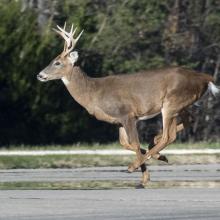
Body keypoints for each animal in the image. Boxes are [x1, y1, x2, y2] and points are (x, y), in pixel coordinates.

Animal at [37, 22, 219, 187]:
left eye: (57, 62)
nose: (40, 75)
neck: (93, 92)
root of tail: (205, 77)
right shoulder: (118, 121)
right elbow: (126, 143)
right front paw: (154, 163)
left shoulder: (127, 114)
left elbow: (134, 143)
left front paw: (144, 177)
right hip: (181, 105)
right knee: (187, 122)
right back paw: (155, 147)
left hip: (171, 103)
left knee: (169, 135)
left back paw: (134, 165)